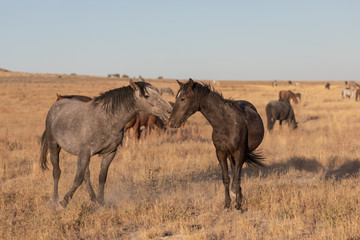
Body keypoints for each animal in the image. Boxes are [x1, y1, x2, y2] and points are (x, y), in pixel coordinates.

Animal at [40, 79, 173, 207]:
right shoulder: (85, 153)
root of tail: (56, 105)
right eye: (146, 95)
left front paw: (101, 202)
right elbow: (78, 178)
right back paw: (55, 200)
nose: (170, 110)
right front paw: (64, 201)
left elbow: (101, 177)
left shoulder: (109, 153)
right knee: (57, 172)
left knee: (86, 175)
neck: (106, 120)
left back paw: (93, 199)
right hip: (54, 146)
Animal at [169, 79, 264, 210]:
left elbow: (236, 179)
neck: (225, 124)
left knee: (237, 175)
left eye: (183, 98)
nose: (171, 122)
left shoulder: (239, 153)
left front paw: (237, 204)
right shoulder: (221, 153)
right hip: (230, 156)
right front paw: (227, 204)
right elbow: (226, 179)